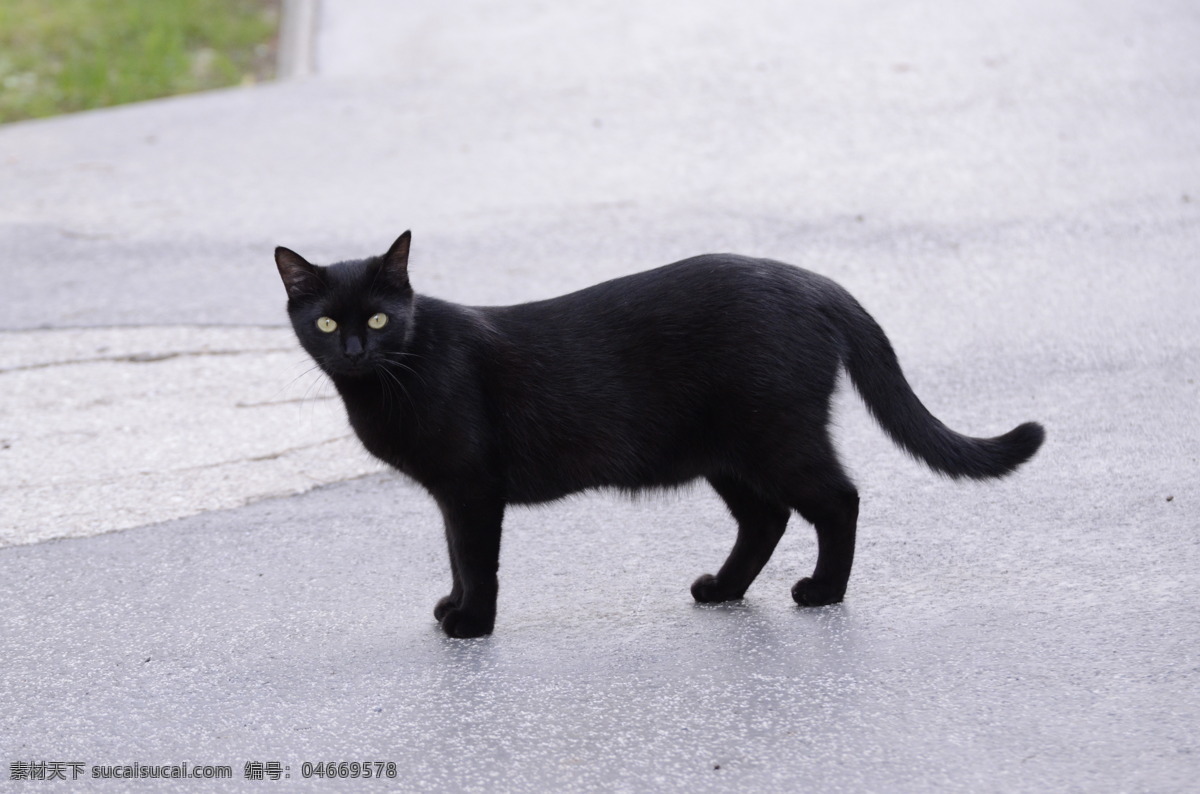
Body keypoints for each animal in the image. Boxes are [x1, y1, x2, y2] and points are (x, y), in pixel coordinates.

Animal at [272, 231, 1041, 642]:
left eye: (378, 320)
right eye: (328, 323)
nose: (354, 352)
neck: (392, 378)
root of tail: (811, 280)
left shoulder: (470, 486)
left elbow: (477, 559)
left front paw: (473, 623)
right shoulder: (453, 496)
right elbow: (458, 556)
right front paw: (454, 607)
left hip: (775, 436)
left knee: (838, 500)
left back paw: (823, 592)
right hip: (727, 452)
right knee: (767, 517)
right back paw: (723, 590)